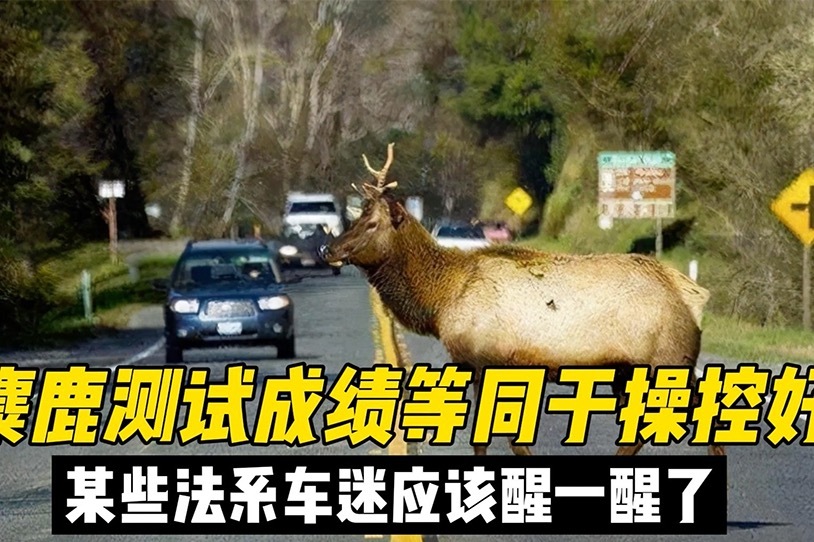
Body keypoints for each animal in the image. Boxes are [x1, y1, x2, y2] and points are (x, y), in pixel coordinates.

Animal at [320, 143, 724, 458]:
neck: (442, 298)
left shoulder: (484, 359)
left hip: (668, 361)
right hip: (632, 370)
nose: (329, 249)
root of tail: (694, 296)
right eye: (356, 216)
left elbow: (494, 439)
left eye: (372, 222)